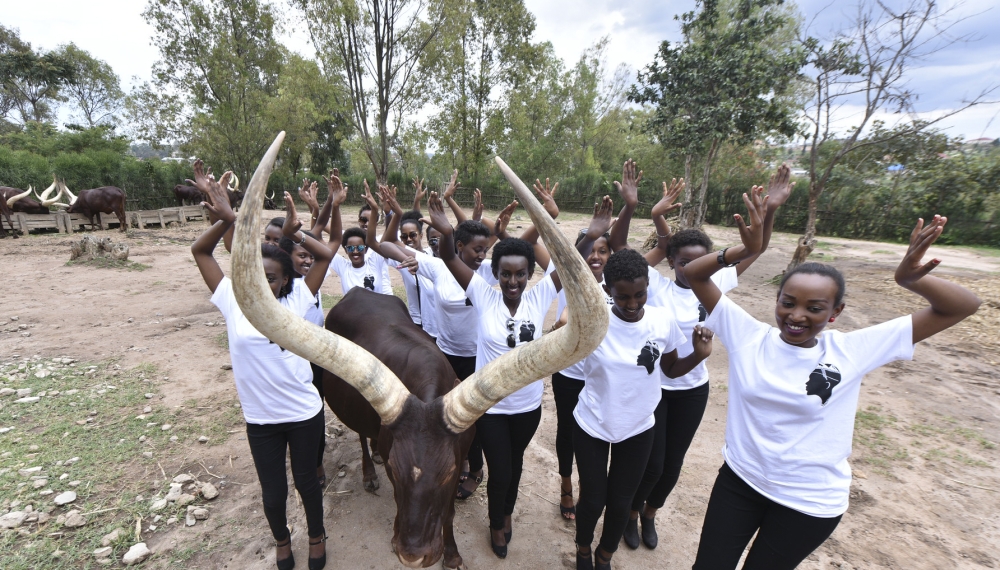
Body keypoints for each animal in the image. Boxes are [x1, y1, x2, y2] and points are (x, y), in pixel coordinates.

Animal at [229, 131, 608, 564]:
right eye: (397, 470)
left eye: (447, 474)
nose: (412, 554)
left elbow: (449, 512)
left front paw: (452, 553)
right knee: (362, 436)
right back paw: (368, 469)